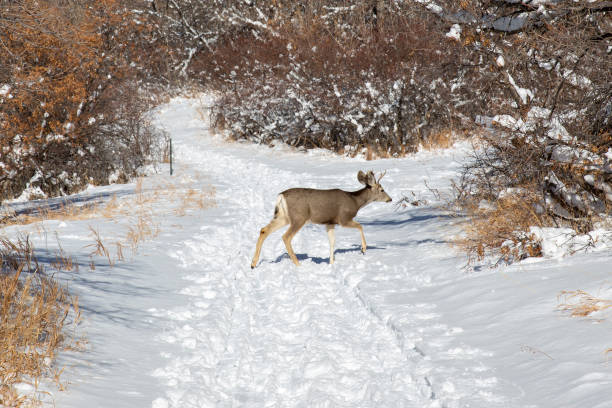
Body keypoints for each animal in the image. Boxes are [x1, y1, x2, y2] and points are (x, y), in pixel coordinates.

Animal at [252, 171, 392, 270]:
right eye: (382, 190)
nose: (390, 199)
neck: (355, 202)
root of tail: (281, 196)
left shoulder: (330, 223)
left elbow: (332, 242)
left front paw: (331, 263)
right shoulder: (343, 219)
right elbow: (360, 226)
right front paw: (363, 249)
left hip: (283, 217)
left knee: (264, 230)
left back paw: (253, 264)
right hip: (299, 217)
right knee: (286, 237)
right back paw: (298, 264)